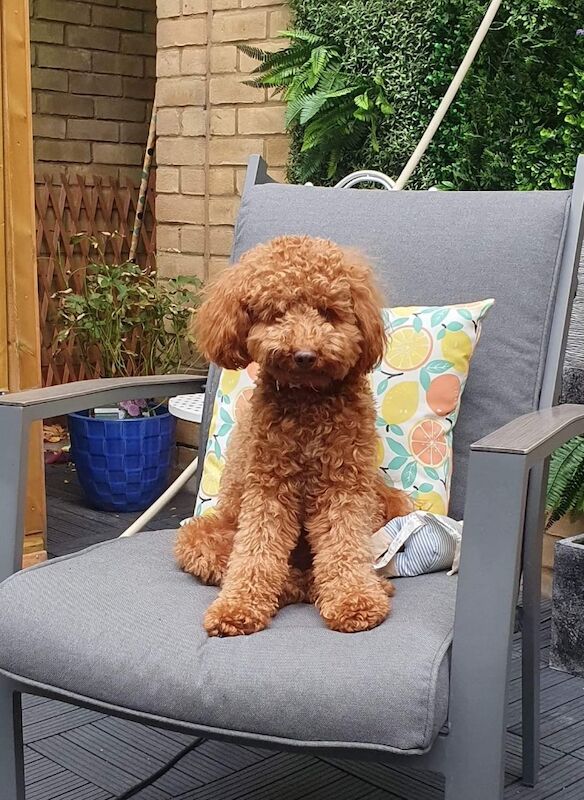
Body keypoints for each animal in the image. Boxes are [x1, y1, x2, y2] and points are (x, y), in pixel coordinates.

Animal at [176, 234, 412, 636]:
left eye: (327, 312)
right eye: (275, 314)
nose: (304, 354)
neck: (307, 402)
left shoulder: (344, 484)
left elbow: (345, 543)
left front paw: (354, 600)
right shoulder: (267, 486)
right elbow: (257, 550)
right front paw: (238, 607)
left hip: (384, 500)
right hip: (203, 533)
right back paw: (292, 584)